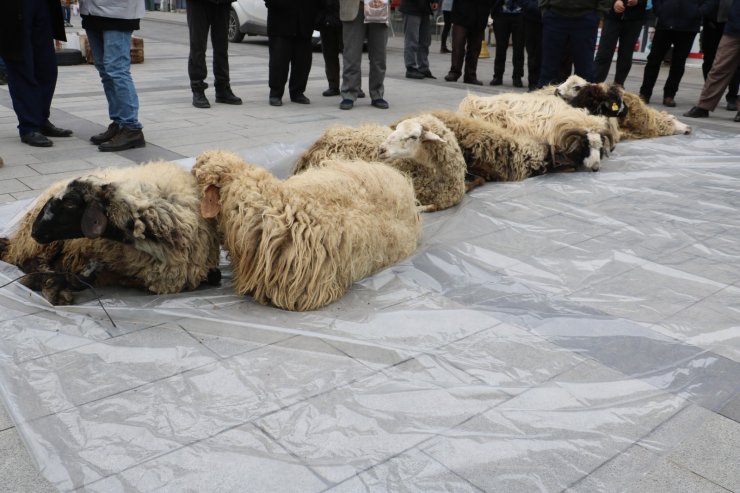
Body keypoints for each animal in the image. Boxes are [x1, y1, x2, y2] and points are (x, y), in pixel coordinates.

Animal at [0, 160, 221, 304]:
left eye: (70, 203)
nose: (35, 230)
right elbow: (81, 278)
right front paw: (59, 283)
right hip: (44, 245)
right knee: (27, 261)